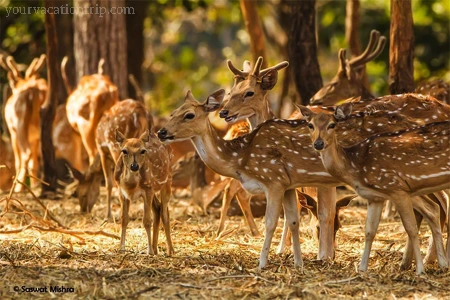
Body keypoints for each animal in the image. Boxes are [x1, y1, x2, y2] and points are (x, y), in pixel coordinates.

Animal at [0, 53, 46, 192]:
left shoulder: (12, 131)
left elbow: (17, 160)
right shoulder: (35, 137)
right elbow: (34, 161)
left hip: (19, 125)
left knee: (26, 153)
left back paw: (18, 187)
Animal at [298, 103, 450, 274]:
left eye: (332, 125)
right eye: (310, 125)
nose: (318, 144)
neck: (356, 167)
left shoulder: (397, 189)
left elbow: (410, 229)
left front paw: (420, 270)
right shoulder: (375, 197)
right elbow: (369, 231)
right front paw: (362, 268)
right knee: (434, 209)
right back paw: (443, 264)